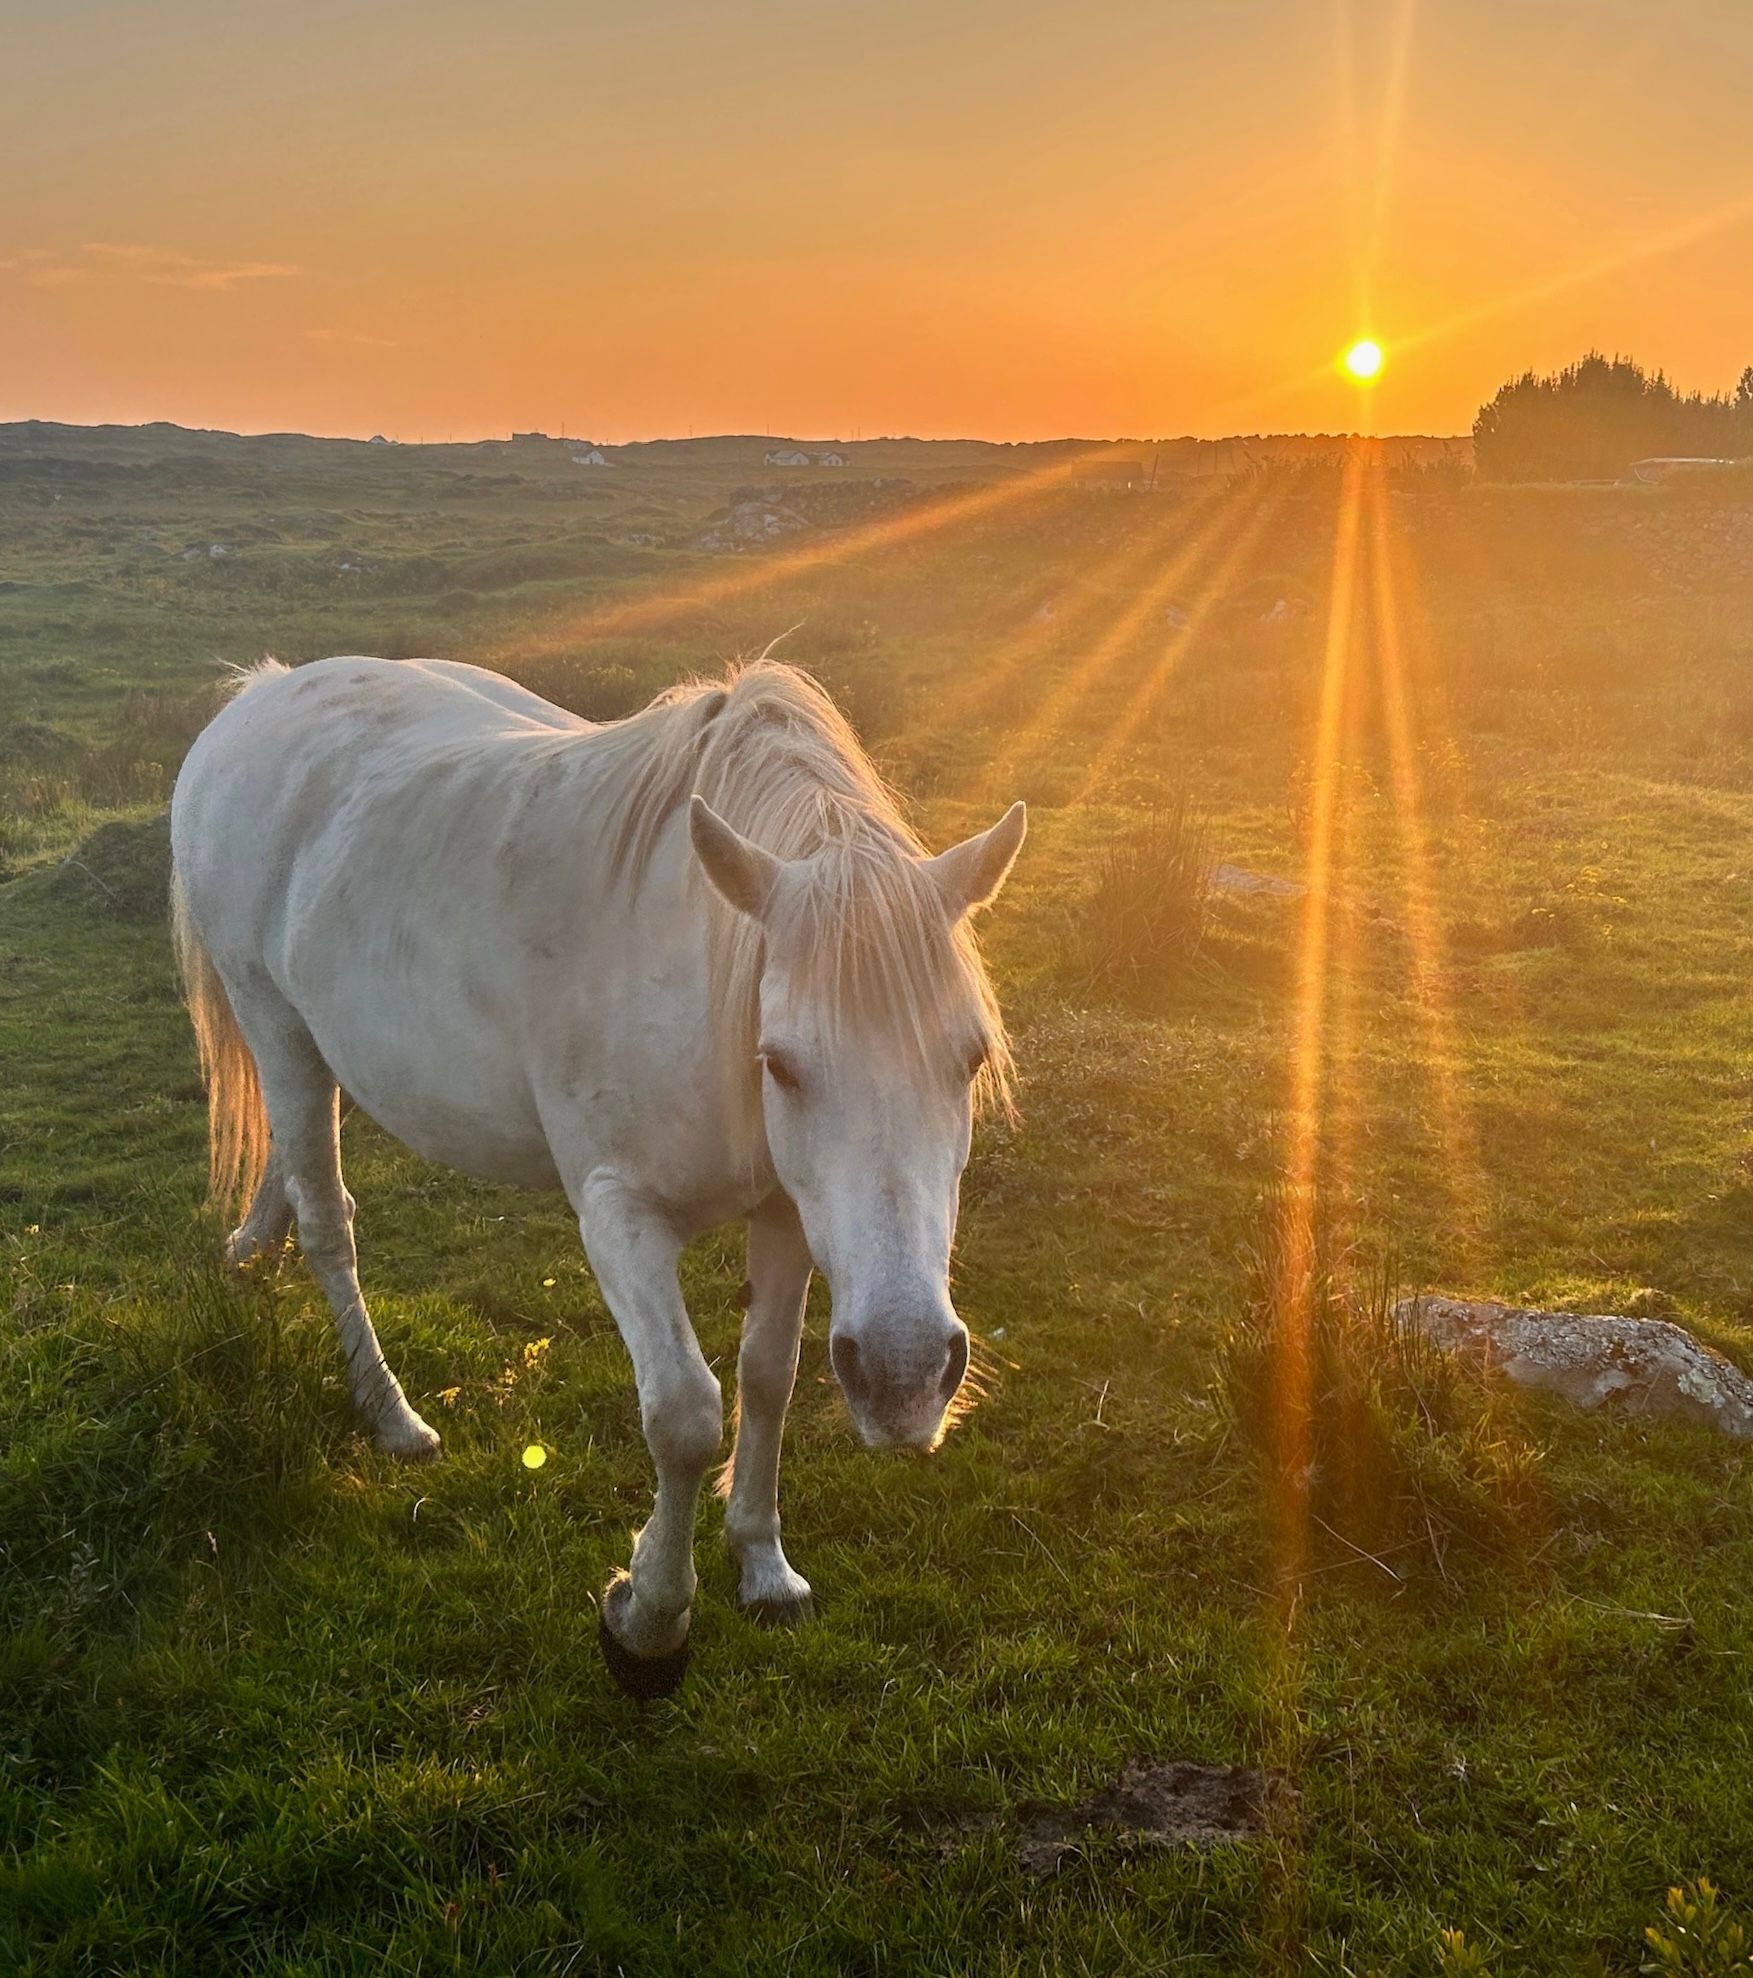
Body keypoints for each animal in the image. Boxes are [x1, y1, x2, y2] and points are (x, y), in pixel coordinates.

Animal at [169, 653, 1025, 1694]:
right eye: (780, 1064)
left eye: (969, 1059)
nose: (905, 1379)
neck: (692, 977)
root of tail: (259, 694)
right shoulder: (620, 1216)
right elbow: (685, 1414)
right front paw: (648, 1617)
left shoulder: (786, 1212)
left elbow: (768, 1376)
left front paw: (763, 1563)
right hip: (277, 1026)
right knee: (330, 1221)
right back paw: (392, 1417)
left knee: (291, 1180)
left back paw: (252, 1251)